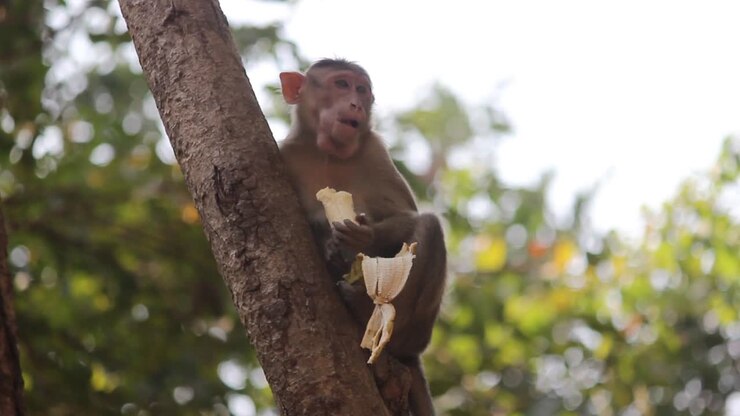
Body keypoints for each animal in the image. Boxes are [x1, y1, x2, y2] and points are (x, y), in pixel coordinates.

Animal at [278, 59, 447, 416]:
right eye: (342, 84)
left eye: (362, 90)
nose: (356, 104)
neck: (328, 152)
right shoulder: (284, 154)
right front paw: (328, 240)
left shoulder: (374, 151)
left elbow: (406, 217)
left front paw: (358, 237)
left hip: (416, 331)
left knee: (428, 227)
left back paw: (365, 308)